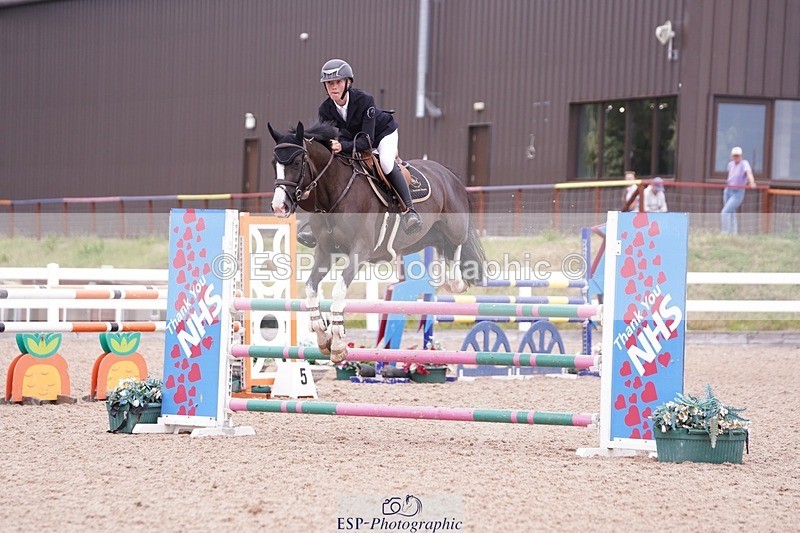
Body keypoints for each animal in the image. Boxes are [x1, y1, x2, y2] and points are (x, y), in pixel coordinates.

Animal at [267, 120, 485, 362]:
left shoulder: (360, 250)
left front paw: (338, 343)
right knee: (441, 244)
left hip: (454, 225)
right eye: (274, 163)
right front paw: (322, 336)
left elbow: (339, 290)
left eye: (297, 162)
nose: (279, 207)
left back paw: (453, 281)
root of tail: (447, 173)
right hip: (426, 236)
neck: (335, 192)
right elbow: (311, 288)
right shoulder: (325, 252)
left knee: (456, 245)